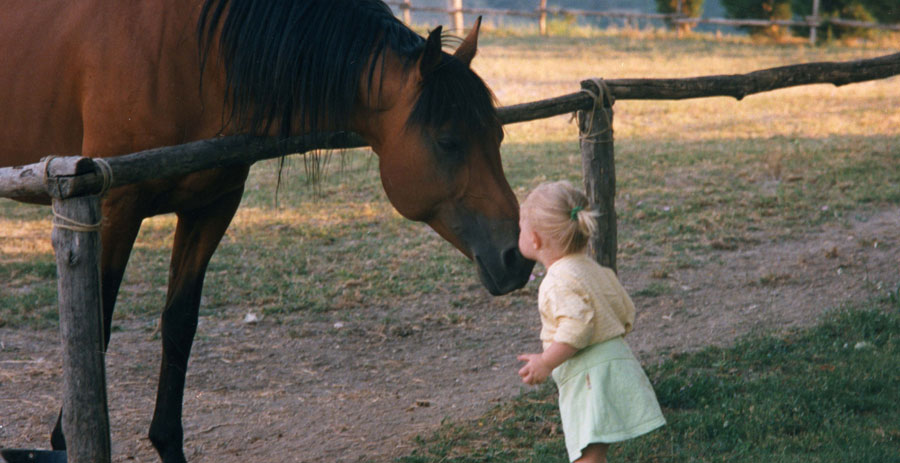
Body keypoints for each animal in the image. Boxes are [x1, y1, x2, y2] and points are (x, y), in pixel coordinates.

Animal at [0, 1, 536, 462]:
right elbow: (96, 329)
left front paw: (168, 443)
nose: (517, 257)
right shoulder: (112, 207)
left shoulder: (212, 207)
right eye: (447, 141)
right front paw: (63, 442)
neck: (189, 51)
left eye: (498, 133)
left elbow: (179, 324)